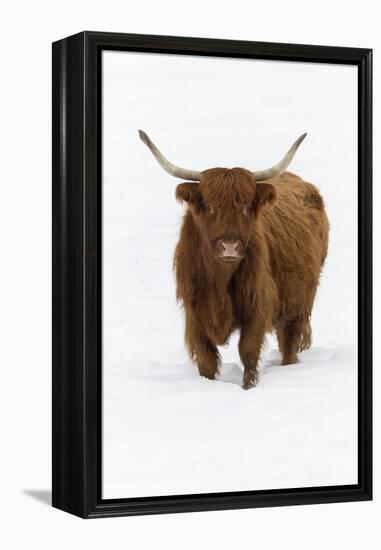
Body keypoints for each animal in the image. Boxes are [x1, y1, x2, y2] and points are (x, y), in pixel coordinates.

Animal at [138, 131, 328, 390]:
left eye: (246, 206)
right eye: (209, 206)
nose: (230, 246)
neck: (219, 279)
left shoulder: (257, 304)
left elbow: (248, 350)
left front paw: (248, 388)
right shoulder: (194, 312)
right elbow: (206, 358)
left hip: (299, 303)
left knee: (288, 342)